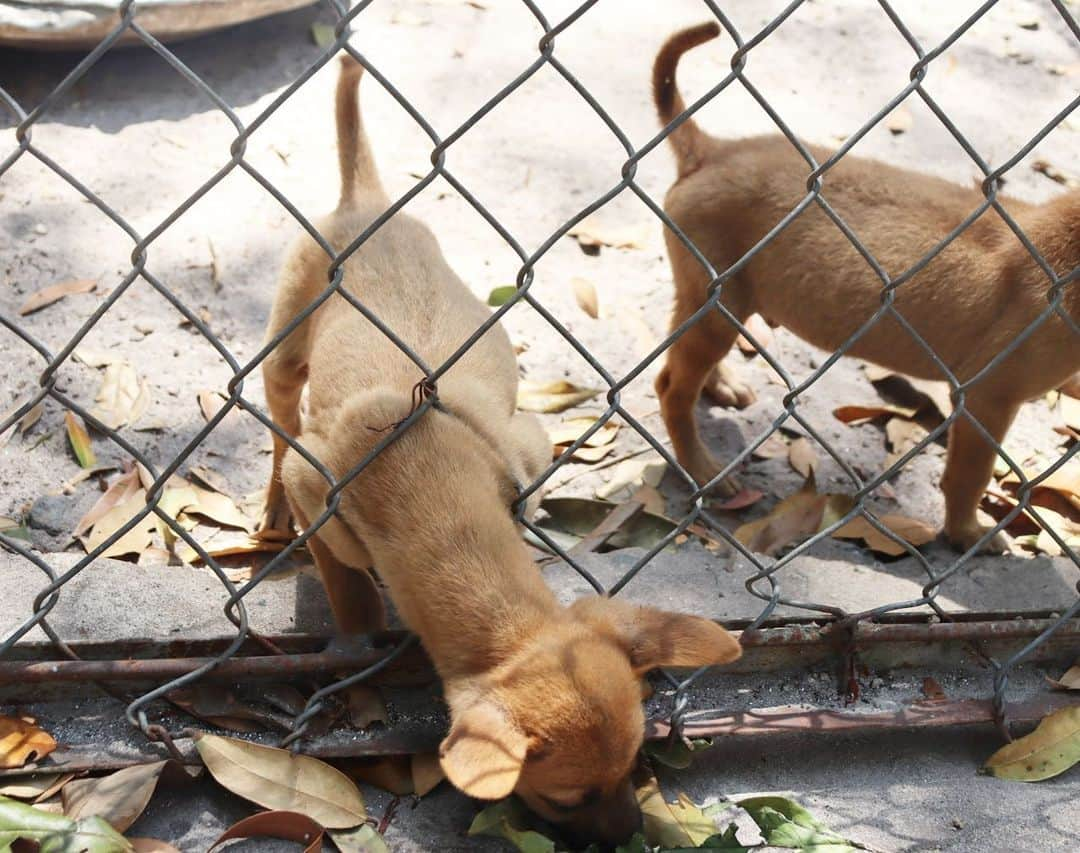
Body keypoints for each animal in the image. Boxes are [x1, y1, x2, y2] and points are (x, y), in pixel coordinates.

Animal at [261, 58, 743, 846]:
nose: (627, 837)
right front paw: (360, 648)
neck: (436, 489)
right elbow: (351, 589)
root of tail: (367, 206)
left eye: (635, 764)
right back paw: (270, 508)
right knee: (276, 429)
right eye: (567, 800)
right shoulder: (320, 487)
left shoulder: (527, 445)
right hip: (284, 350)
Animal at [648, 23, 1080, 552]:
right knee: (671, 387)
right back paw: (701, 467)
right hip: (716, 300)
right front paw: (967, 533)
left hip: (708, 299)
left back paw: (721, 384)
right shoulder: (988, 397)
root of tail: (712, 152)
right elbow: (968, 477)